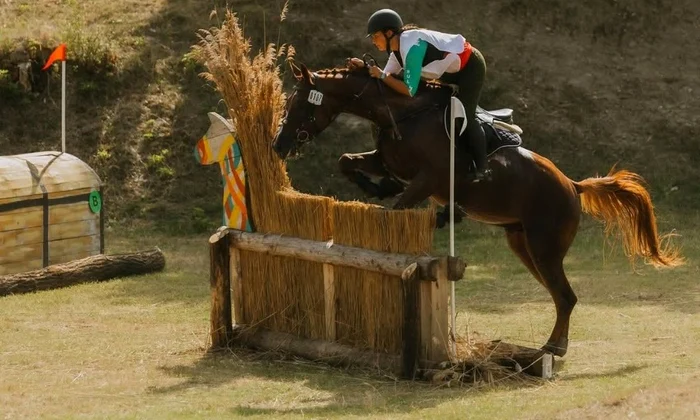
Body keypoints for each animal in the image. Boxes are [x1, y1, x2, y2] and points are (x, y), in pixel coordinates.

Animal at [271, 61, 683, 358]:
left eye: (299, 104)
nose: (278, 145)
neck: (399, 114)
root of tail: (572, 185)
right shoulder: (388, 160)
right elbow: (347, 161)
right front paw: (380, 187)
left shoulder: (429, 179)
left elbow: (398, 208)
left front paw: (399, 201)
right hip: (522, 245)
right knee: (560, 296)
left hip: (544, 247)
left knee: (566, 297)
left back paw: (553, 348)